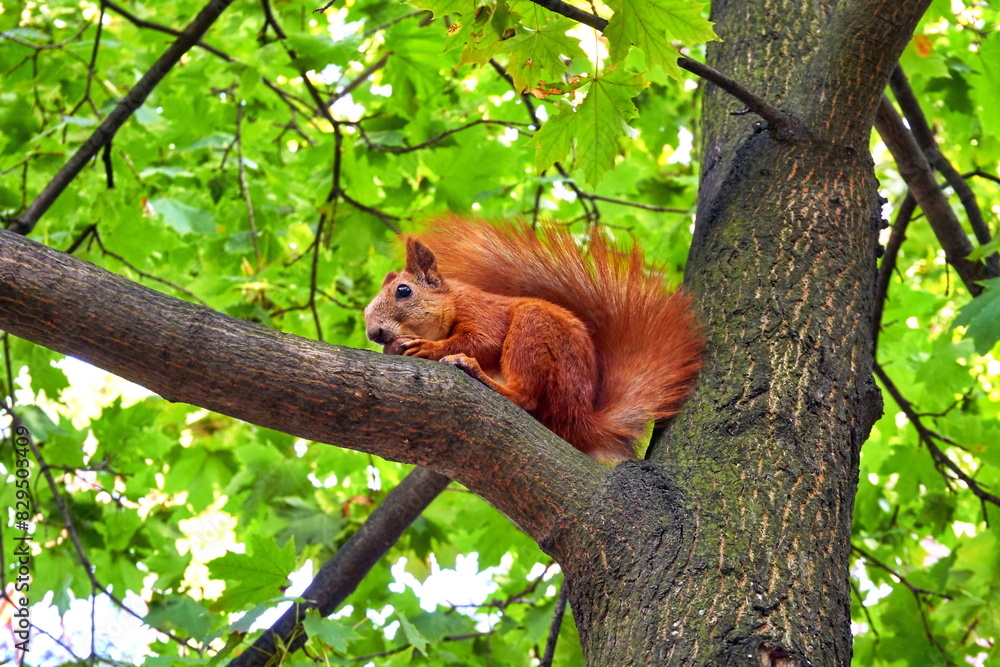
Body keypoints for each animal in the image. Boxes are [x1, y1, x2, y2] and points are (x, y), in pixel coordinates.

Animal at [366, 217, 704, 462]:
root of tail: (581, 419)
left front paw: (427, 347)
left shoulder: (480, 310)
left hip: (534, 329)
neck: (451, 302)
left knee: (526, 397)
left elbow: (484, 341)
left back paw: (478, 374)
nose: (373, 333)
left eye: (404, 291)